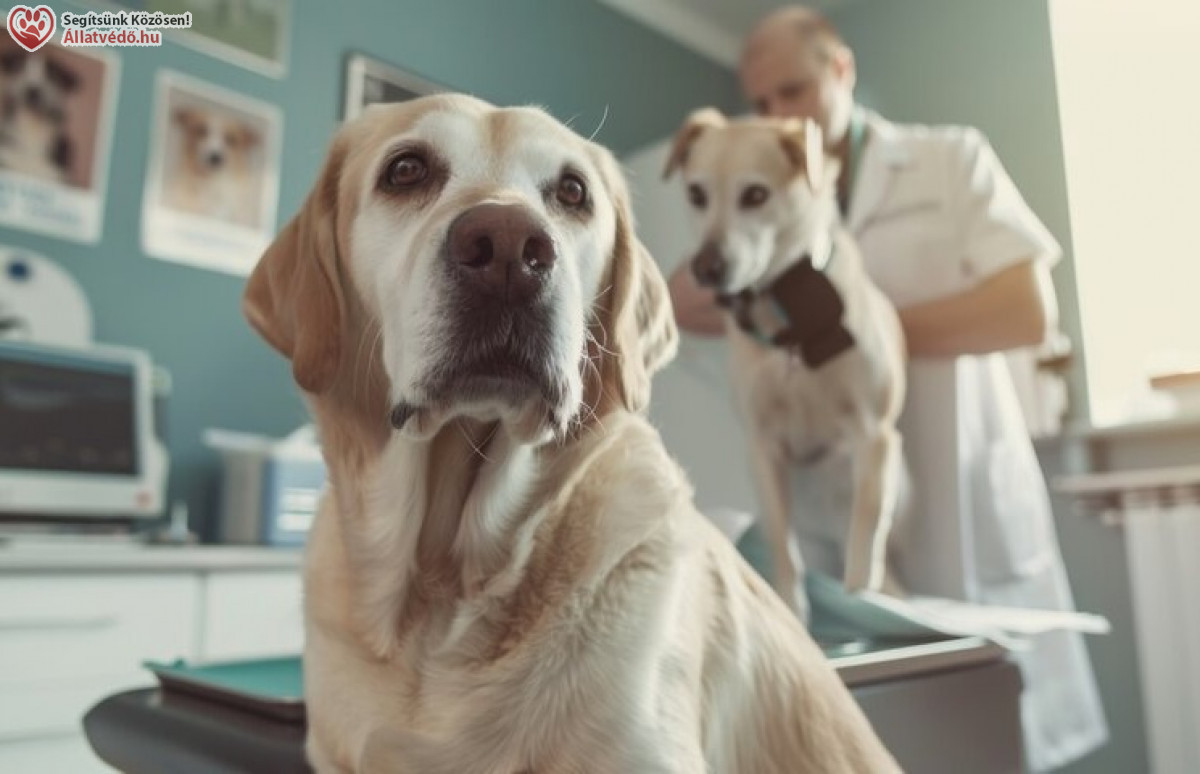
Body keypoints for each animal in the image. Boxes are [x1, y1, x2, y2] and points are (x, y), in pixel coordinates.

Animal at [667, 107, 907, 624]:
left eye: (756, 195)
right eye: (696, 194)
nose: (705, 269)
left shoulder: (874, 433)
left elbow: (866, 521)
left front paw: (860, 589)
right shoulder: (763, 450)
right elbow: (783, 547)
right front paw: (793, 609)